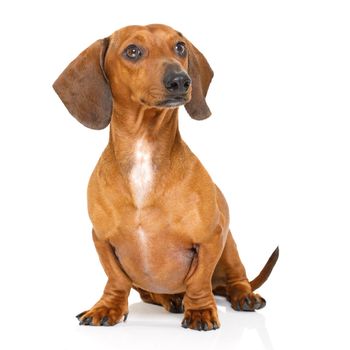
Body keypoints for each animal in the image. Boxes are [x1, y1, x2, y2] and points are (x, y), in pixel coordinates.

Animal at [52, 24, 278, 330]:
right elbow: (116, 279)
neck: (144, 149)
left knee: (235, 278)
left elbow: (198, 280)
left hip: (229, 246)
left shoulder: (211, 237)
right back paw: (171, 298)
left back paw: (243, 295)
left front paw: (200, 310)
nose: (181, 81)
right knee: (152, 294)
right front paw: (107, 307)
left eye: (180, 47)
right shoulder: (101, 239)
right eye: (132, 51)